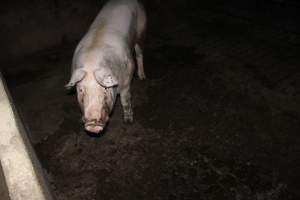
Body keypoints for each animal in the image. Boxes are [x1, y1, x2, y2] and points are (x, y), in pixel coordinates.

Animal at [65, 0, 146, 134]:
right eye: (81, 90)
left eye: (105, 90)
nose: (92, 124)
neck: (91, 62)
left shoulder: (127, 80)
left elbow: (125, 101)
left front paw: (128, 121)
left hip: (141, 32)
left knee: (139, 52)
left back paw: (142, 77)